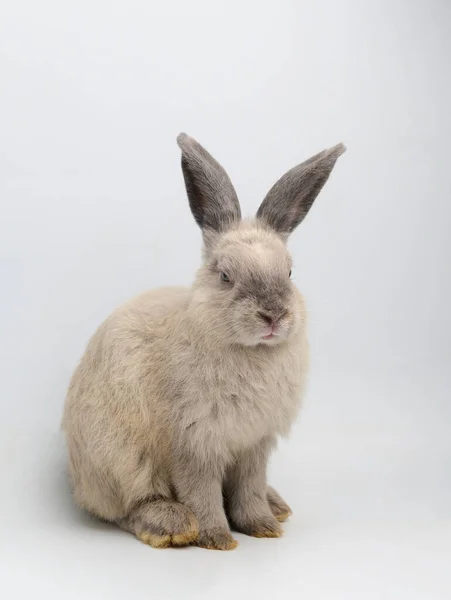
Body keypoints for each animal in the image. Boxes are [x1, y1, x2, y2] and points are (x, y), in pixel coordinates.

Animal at [62, 134, 346, 552]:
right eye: (225, 276)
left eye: (290, 272)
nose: (274, 316)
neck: (250, 351)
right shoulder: (195, 443)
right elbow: (202, 491)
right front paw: (217, 538)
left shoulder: (254, 446)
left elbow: (248, 488)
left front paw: (262, 526)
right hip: (120, 458)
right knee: (128, 507)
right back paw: (173, 525)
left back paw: (277, 506)